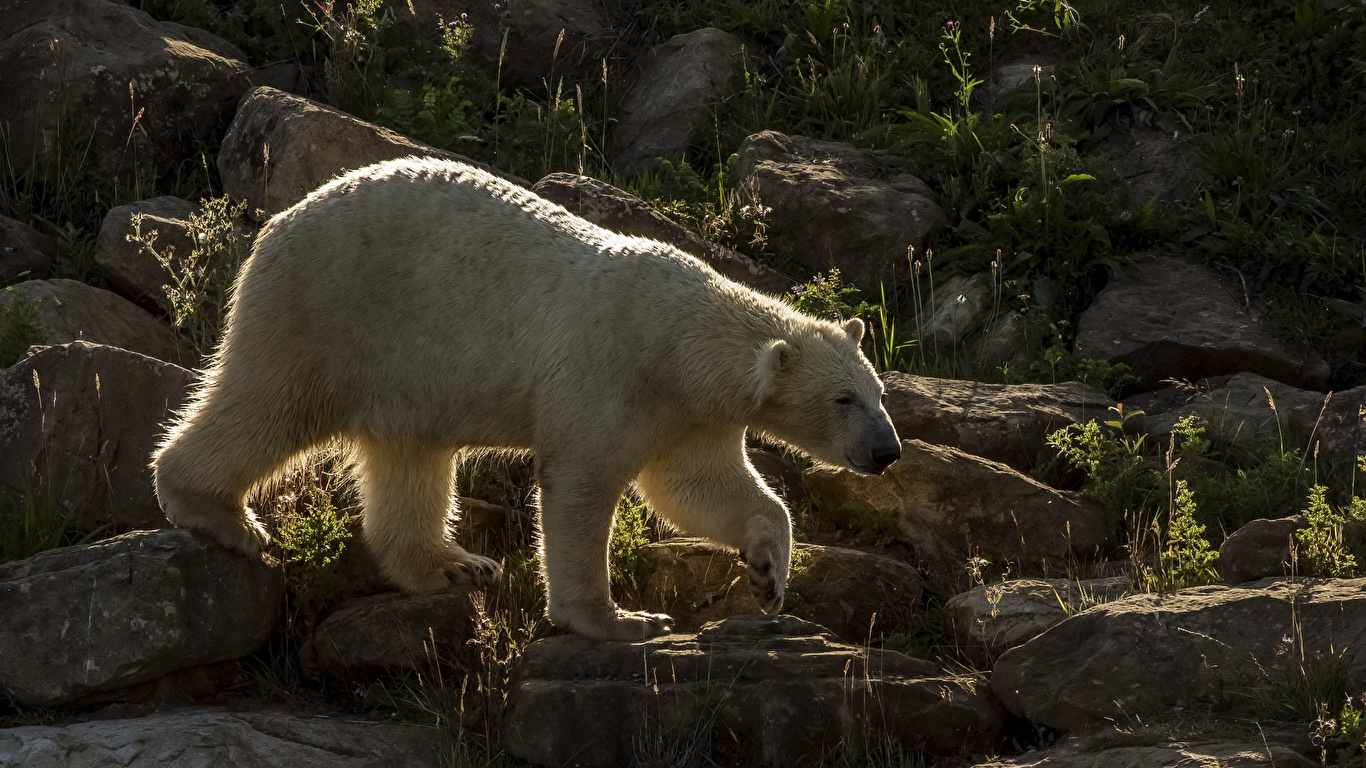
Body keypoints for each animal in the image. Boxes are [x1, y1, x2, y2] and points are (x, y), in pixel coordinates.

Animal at [155, 155, 901, 639]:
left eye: (878, 392)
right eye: (843, 400)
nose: (887, 452)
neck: (680, 338)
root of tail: (279, 220)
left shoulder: (690, 415)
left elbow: (697, 486)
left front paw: (768, 571)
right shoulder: (613, 369)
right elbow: (581, 482)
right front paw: (625, 619)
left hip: (403, 372)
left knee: (409, 458)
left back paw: (455, 565)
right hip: (328, 310)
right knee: (269, 403)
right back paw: (219, 514)